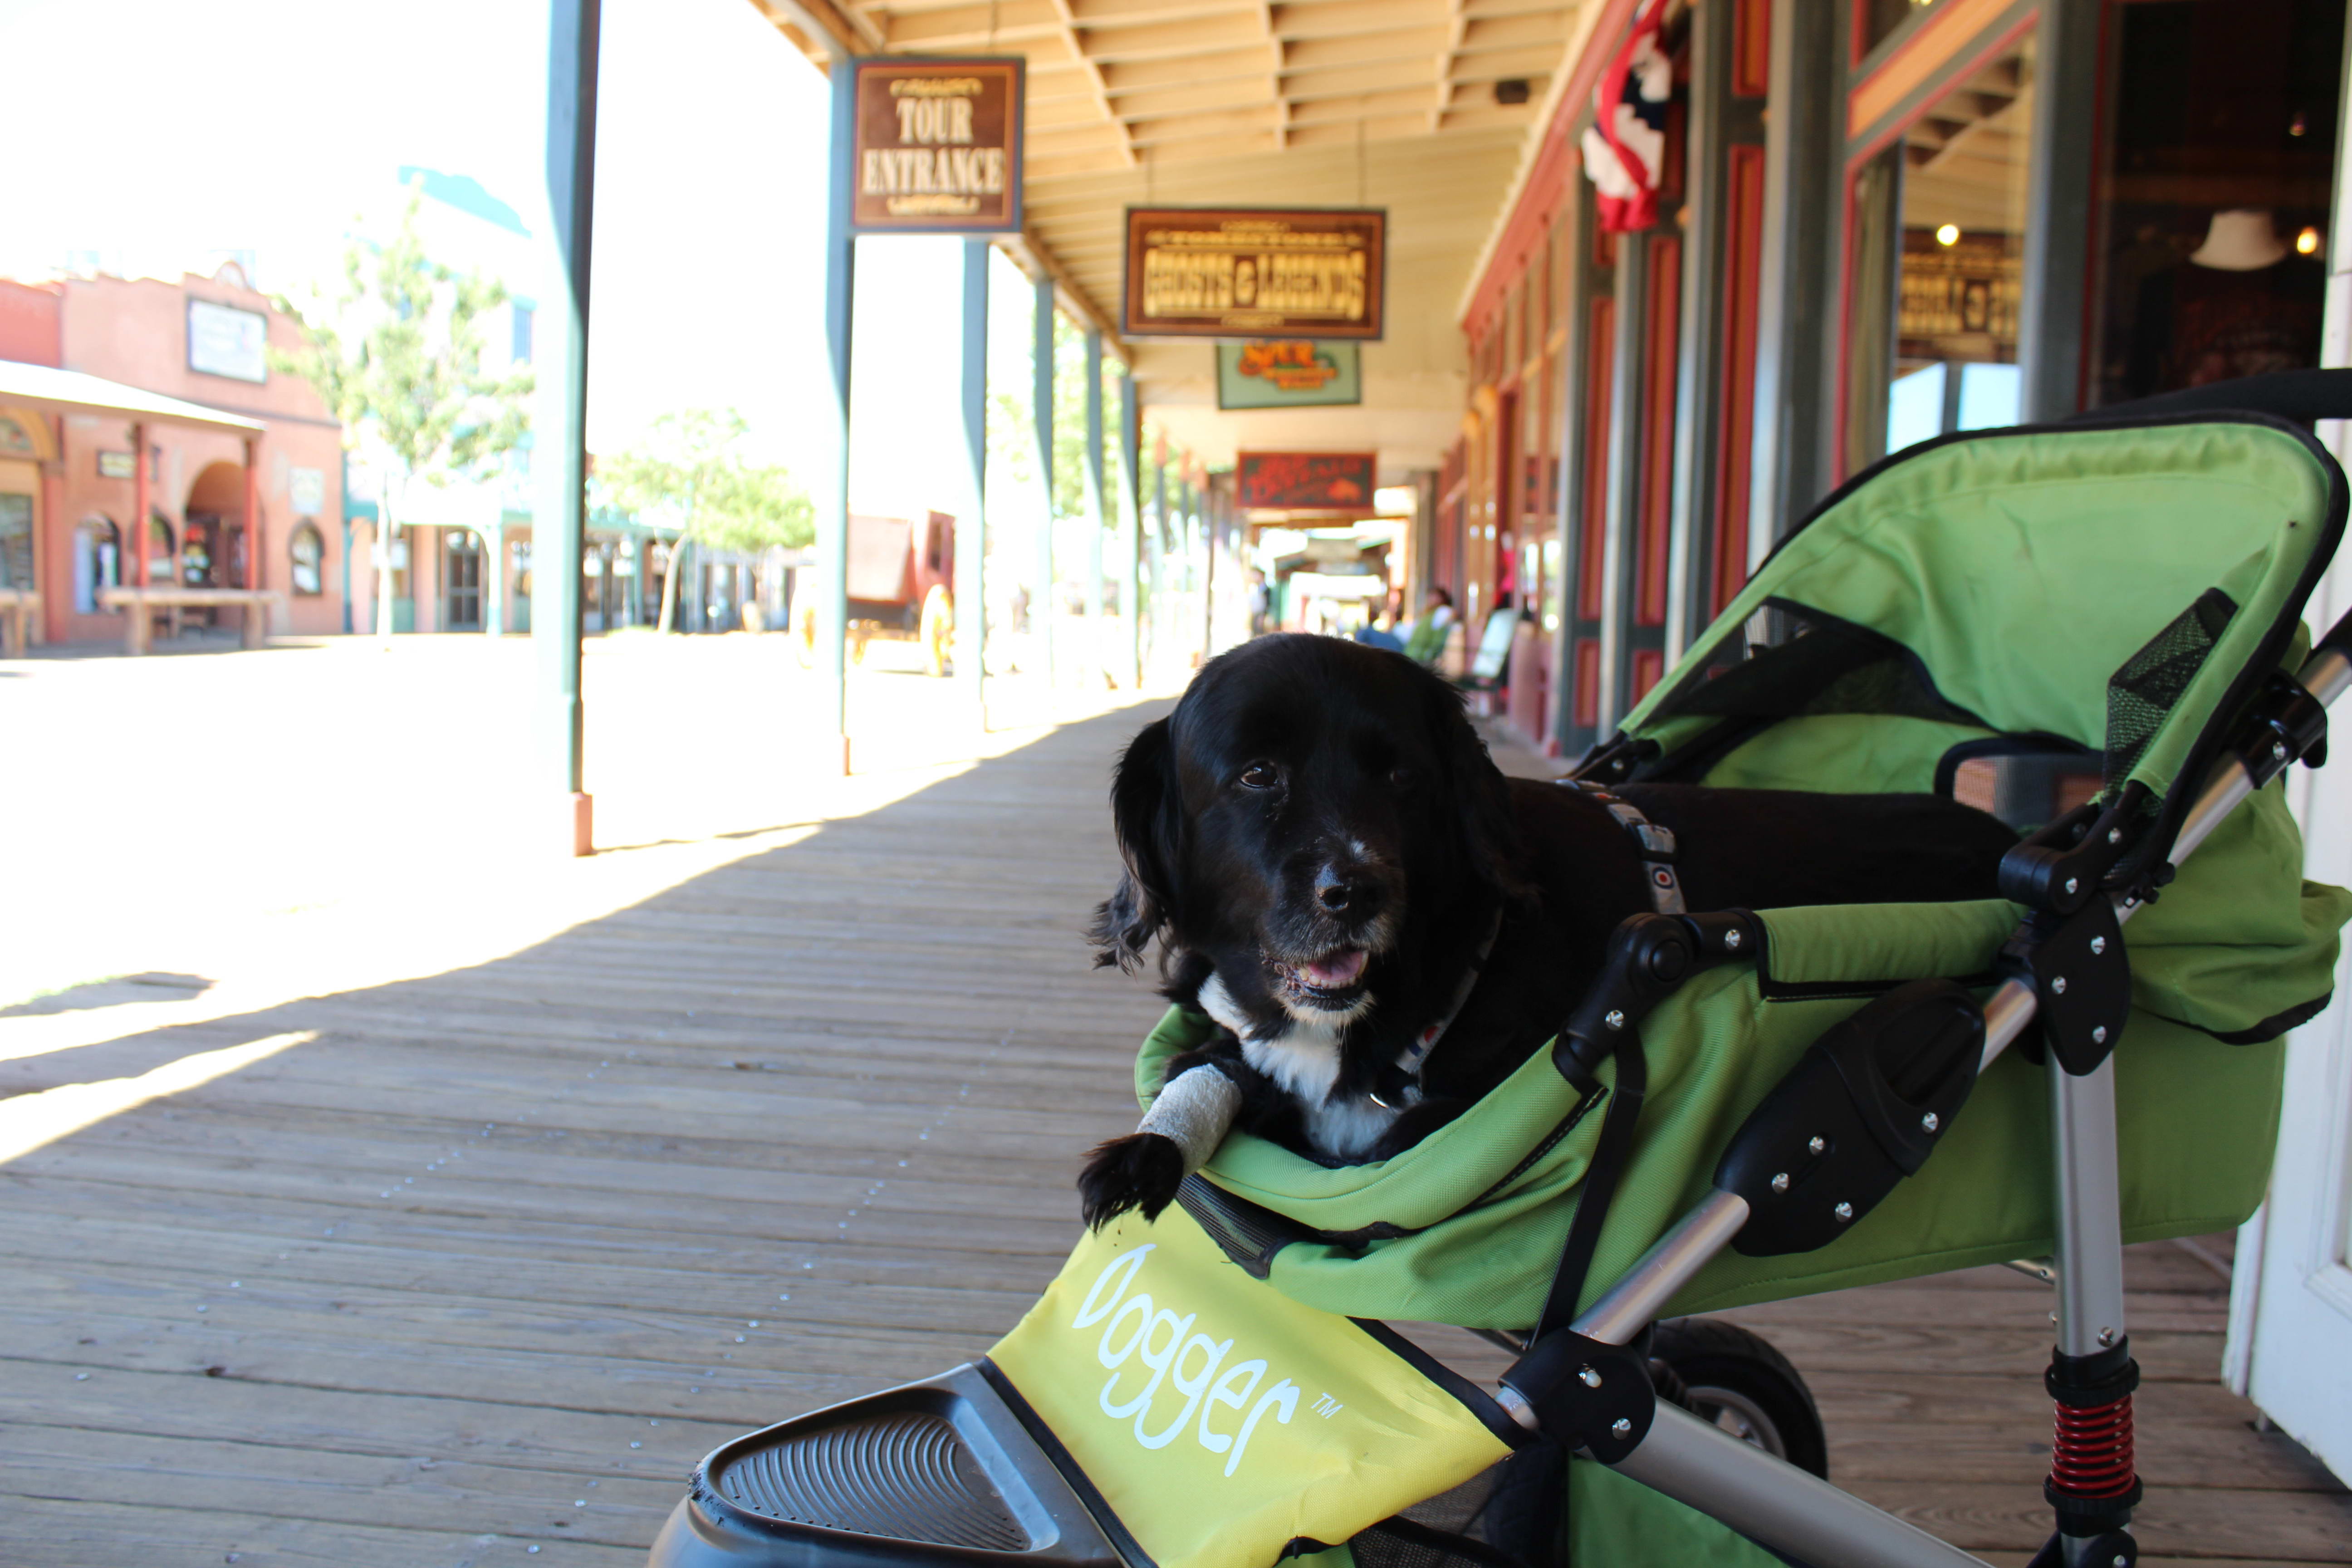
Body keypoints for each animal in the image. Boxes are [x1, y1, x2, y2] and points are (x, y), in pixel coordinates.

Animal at [1077, 630, 2013, 1232]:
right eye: (1256, 775)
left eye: (1401, 776)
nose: (1357, 889)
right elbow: (1211, 1067)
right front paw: (1146, 1148)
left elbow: (1399, 1141)